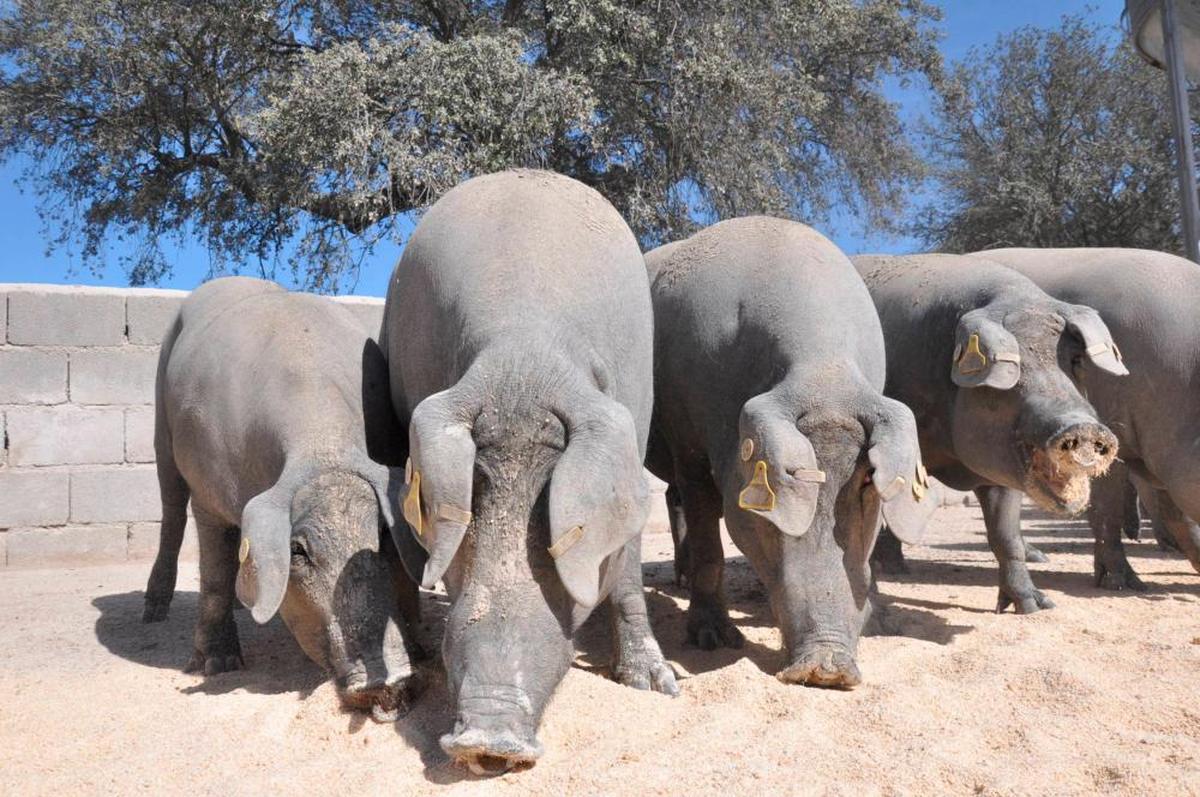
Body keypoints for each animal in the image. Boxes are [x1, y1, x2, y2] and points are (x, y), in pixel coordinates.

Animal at [142, 277, 422, 724]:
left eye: (381, 535)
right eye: (298, 550)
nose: (390, 681)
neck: (321, 445)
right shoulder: (207, 489)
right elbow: (213, 570)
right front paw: (218, 666)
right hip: (161, 426)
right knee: (171, 511)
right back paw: (153, 613)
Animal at [384, 171, 686, 772]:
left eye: (551, 522)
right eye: (475, 498)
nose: (488, 739)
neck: (525, 357)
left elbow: (628, 568)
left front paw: (656, 687)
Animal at [652, 219, 931, 691]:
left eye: (867, 483)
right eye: (783, 493)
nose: (827, 668)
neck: (822, 373)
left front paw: (879, 622)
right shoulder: (687, 439)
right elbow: (709, 539)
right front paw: (714, 641)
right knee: (676, 501)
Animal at [849, 252, 1118, 612]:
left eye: (1074, 360)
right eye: (1015, 366)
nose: (1082, 426)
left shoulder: (1001, 465)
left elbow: (1006, 535)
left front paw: (1035, 606)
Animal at [969, 246, 1200, 588]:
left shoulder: (1159, 453)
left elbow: (1177, 513)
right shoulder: (1108, 434)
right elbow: (1107, 508)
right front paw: (1123, 584)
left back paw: (1038, 557)